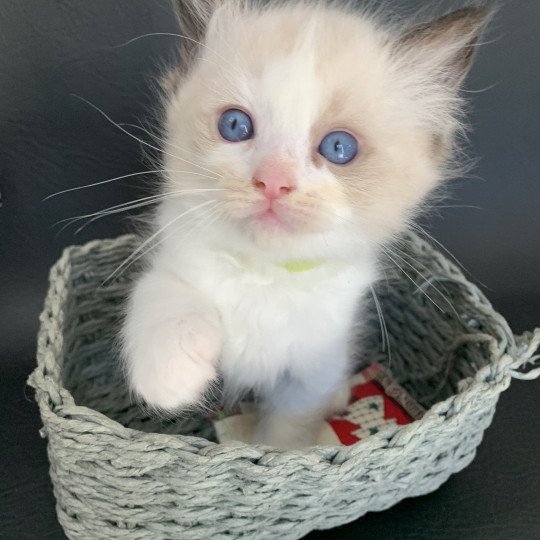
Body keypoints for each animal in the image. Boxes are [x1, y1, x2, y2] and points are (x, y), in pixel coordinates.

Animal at [121, 1, 490, 448]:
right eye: (235, 126)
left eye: (338, 147)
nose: (273, 181)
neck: (267, 274)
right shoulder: (175, 262)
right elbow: (164, 296)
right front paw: (171, 379)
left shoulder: (312, 369)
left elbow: (287, 430)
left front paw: (270, 454)